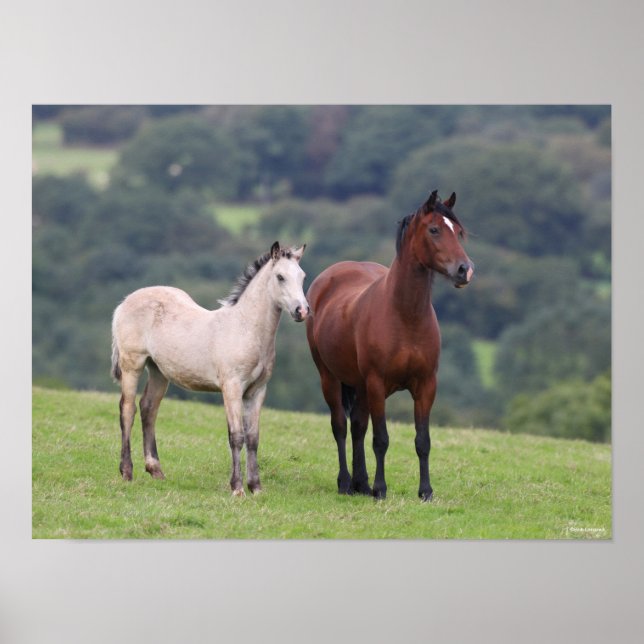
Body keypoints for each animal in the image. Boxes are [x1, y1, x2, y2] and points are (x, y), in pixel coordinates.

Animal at [111, 241, 309, 496]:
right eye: (280, 277)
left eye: (302, 276)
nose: (302, 311)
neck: (245, 328)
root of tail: (125, 301)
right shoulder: (232, 388)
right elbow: (236, 436)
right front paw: (237, 488)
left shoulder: (257, 392)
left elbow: (253, 438)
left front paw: (256, 487)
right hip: (132, 364)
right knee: (128, 409)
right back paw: (127, 471)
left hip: (158, 371)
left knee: (148, 408)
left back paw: (156, 470)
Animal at [305, 190, 474, 501]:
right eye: (434, 230)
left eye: (458, 231)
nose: (464, 270)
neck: (406, 316)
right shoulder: (377, 384)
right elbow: (381, 439)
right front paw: (381, 490)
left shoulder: (426, 386)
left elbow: (422, 440)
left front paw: (425, 492)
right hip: (330, 377)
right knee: (341, 426)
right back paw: (346, 483)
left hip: (359, 385)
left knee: (357, 426)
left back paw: (361, 484)